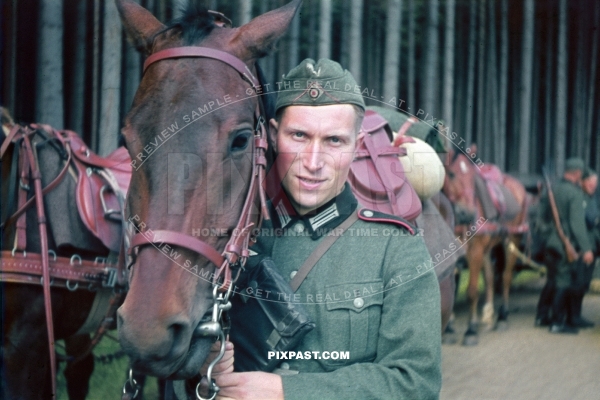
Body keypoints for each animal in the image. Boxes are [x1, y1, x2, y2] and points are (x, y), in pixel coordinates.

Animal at [442, 145, 528, 346]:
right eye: (451, 174)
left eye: (473, 177)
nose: (467, 213)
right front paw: (449, 329)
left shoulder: (475, 251)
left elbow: (472, 291)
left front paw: (470, 331)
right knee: (489, 276)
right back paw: (488, 315)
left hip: (512, 240)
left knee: (505, 277)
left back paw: (502, 317)